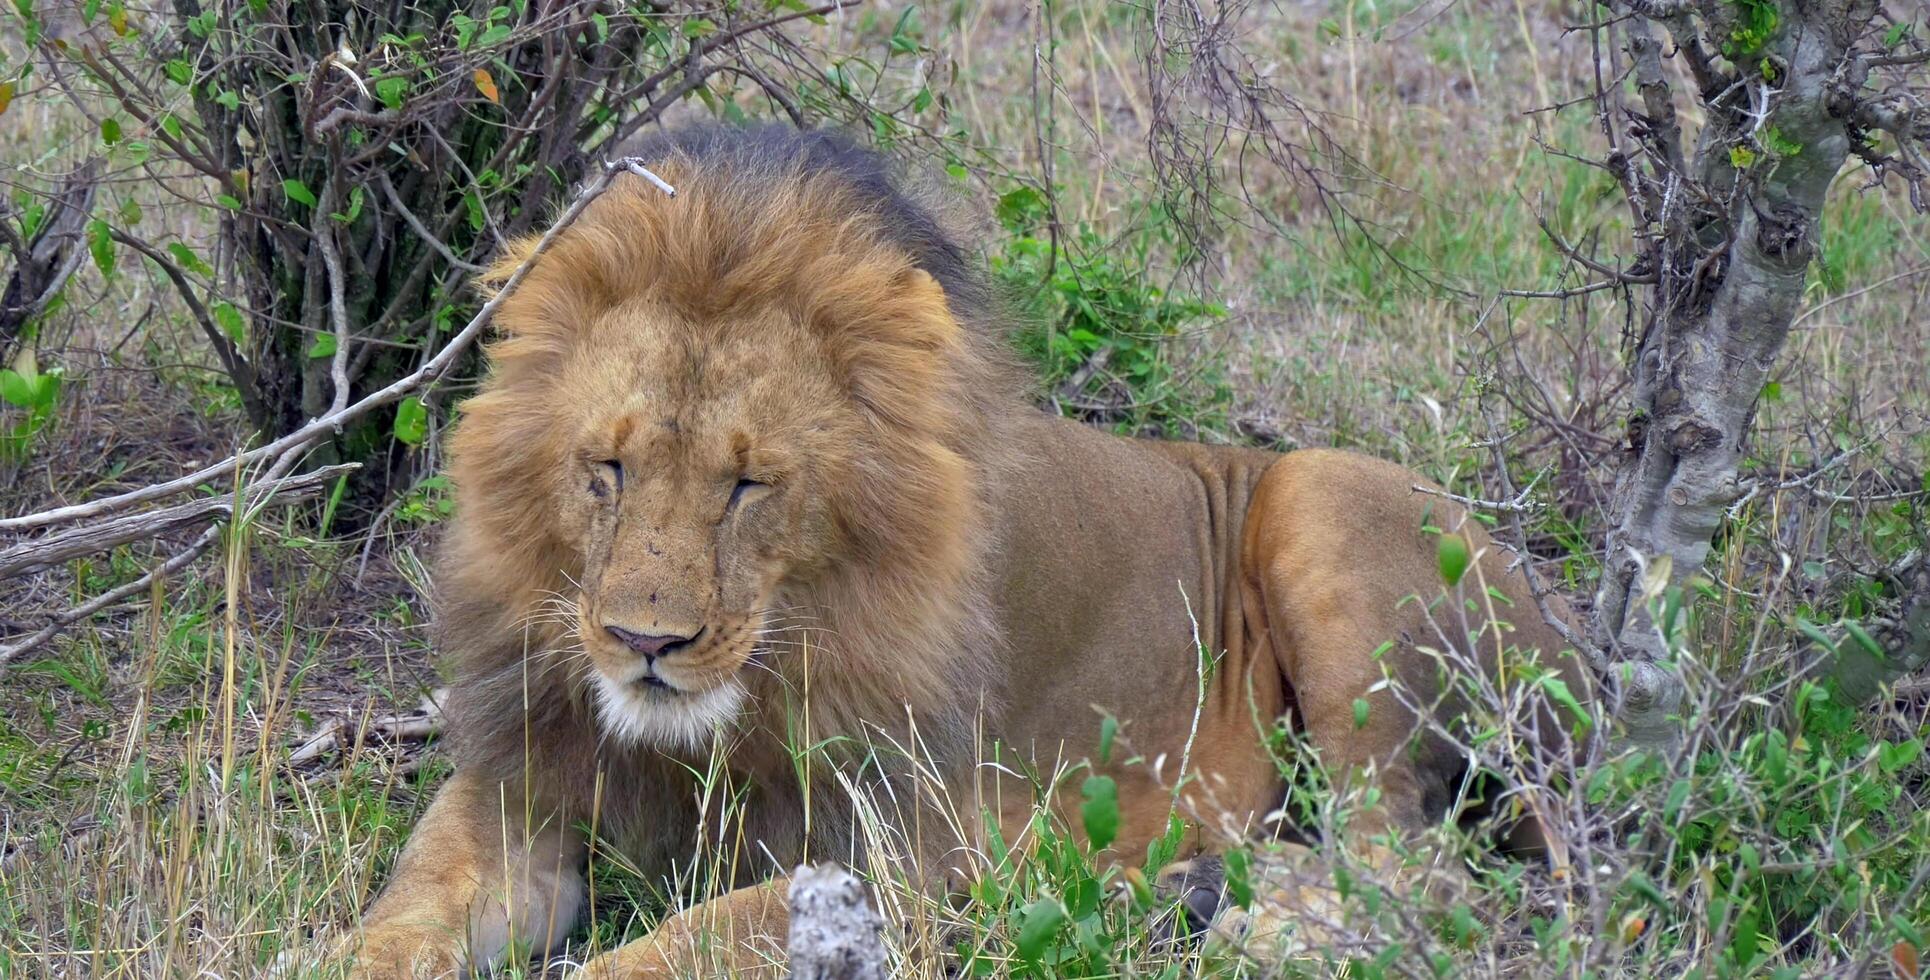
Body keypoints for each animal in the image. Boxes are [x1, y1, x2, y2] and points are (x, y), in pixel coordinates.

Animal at [339, 126, 1590, 976]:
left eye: (749, 483)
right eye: (605, 466)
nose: (645, 640)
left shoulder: (902, 858)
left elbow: (673, 947)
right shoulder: (522, 779)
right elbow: (401, 907)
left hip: (1324, 503)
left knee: (1413, 862)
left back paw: (1246, 917)